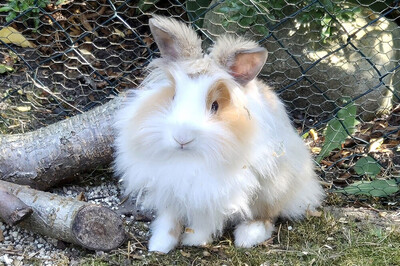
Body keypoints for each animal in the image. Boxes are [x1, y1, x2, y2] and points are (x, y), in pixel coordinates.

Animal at [113, 15, 324, 254]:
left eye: (215, 106)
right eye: (173, 97)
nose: (182, 138)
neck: (188, 158)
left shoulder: (212, 192)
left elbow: (204, 219)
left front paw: (194, 240)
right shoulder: (170, 189)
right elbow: (169, 219)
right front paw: (159, 245)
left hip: (274, 185)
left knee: (268, 215)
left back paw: (248, 236)